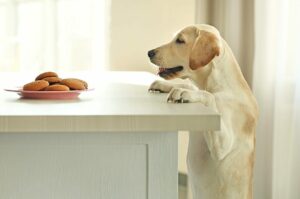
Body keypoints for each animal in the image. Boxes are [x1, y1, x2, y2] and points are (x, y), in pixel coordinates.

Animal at [148, 24, 258, 199]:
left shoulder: (223, 148)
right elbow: (189, 85)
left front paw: (185, 93)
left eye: (180, 40)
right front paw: (165, 86)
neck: (219, 85)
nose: (149, 52)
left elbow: (208, 96)